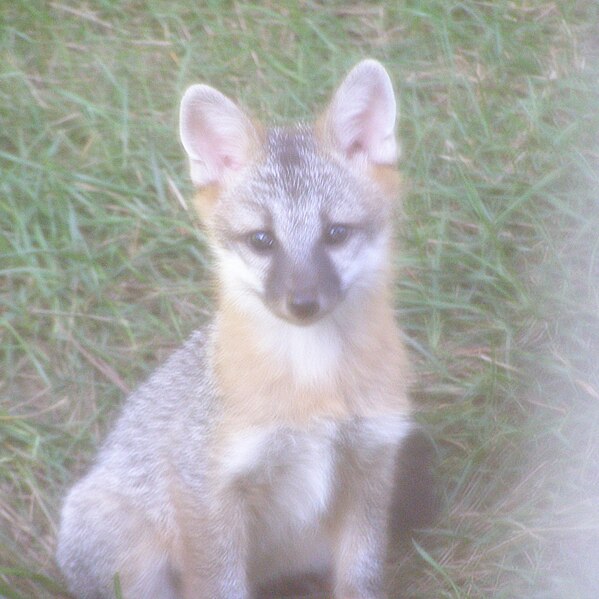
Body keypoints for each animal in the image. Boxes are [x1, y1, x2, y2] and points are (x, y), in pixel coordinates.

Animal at [56, 57, 434, 599]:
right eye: (262, 240)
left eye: (336, 234)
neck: (314, 387)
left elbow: (360, 577)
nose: (303, 303)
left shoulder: (371, 462)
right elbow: (220, 584)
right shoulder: (208, 491)